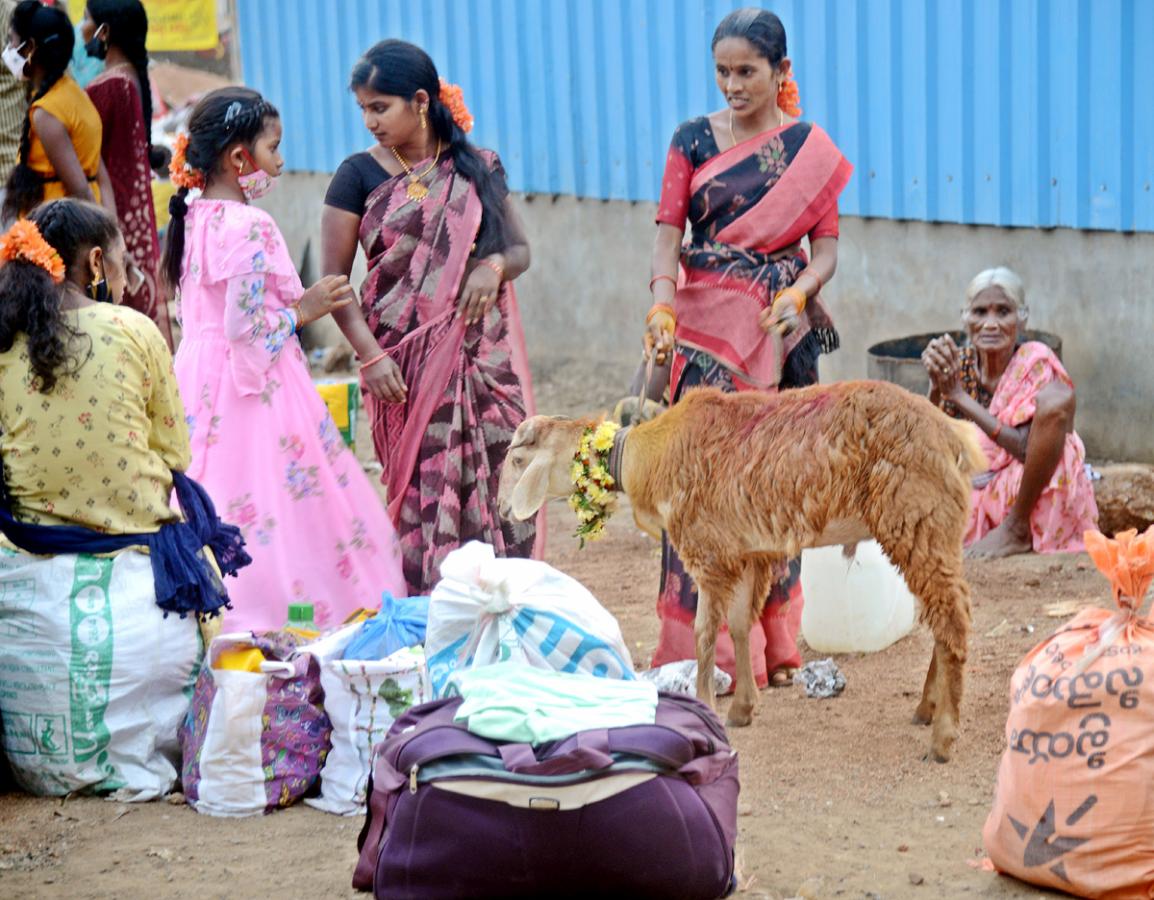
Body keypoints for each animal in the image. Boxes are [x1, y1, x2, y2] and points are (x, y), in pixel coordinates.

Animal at [496, 378, 983, 761]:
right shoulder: (747, 551)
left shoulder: (708, 551)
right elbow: (740, 624)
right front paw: (742, 708)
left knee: (952, 617)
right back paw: (926, 708)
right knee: (941, 617)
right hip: (930, 530)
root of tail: (954, 435)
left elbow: (703, 632)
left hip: (917, 517)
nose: (501, 508)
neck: (647, 457)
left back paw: (943, 736)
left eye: (518, 461)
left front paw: (706, 707)